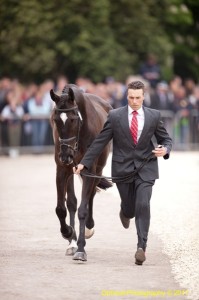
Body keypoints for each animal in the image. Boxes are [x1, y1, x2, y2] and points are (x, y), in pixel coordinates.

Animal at [49, 84, 112, 260]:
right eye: (56, 120)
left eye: (72, 119)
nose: (65, 155)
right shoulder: (62, 170)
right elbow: (61, 208)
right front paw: (68, 233)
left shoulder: (89, 170)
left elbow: (83, 209)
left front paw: (81, 249)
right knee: (71, 202)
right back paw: (71, 242)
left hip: (97, 169)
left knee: (90, 196)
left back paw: (88, 228)